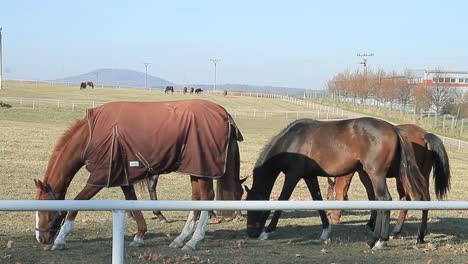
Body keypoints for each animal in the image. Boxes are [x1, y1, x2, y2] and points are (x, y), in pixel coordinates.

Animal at [33, 99, 245, 252]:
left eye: (43, 208)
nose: (40, 238)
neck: (91, 136)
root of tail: (224, 114)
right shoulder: (122, 175)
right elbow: (132, 201)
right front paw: (140, 235)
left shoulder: (99, 178)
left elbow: (76, 203)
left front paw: (60, 239)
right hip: (196, 170)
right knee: (197, 198)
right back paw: (181, 239)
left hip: (203, 169)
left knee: (207, 197)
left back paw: (194, 241)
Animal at [245, 116, 428, 249]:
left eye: (252, 208)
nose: (250, 233)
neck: (292, 141)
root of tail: (394, 129)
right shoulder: (309, 176)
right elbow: (318, 202)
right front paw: (325, 232)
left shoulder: (292, 176)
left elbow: (282, 200)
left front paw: (267, 231)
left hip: (376, 174)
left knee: (384, 200)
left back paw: (377, 240)